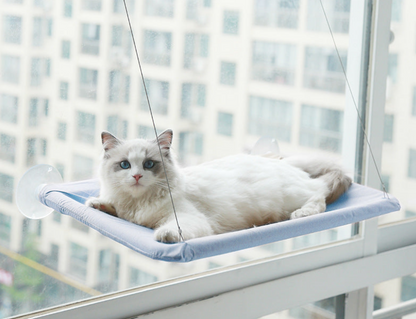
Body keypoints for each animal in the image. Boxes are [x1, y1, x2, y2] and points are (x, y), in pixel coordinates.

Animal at [86, 129, 352, 242]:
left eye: (149, 164)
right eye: (125, 165)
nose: (137, 177)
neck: (138, 203)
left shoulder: (187, 218)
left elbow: (171, 228)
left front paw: (165, 235)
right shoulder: (126, 211)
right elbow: (114, 208)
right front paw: (97, 204)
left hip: (292, 196)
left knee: (319, 196)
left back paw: (301, 214)